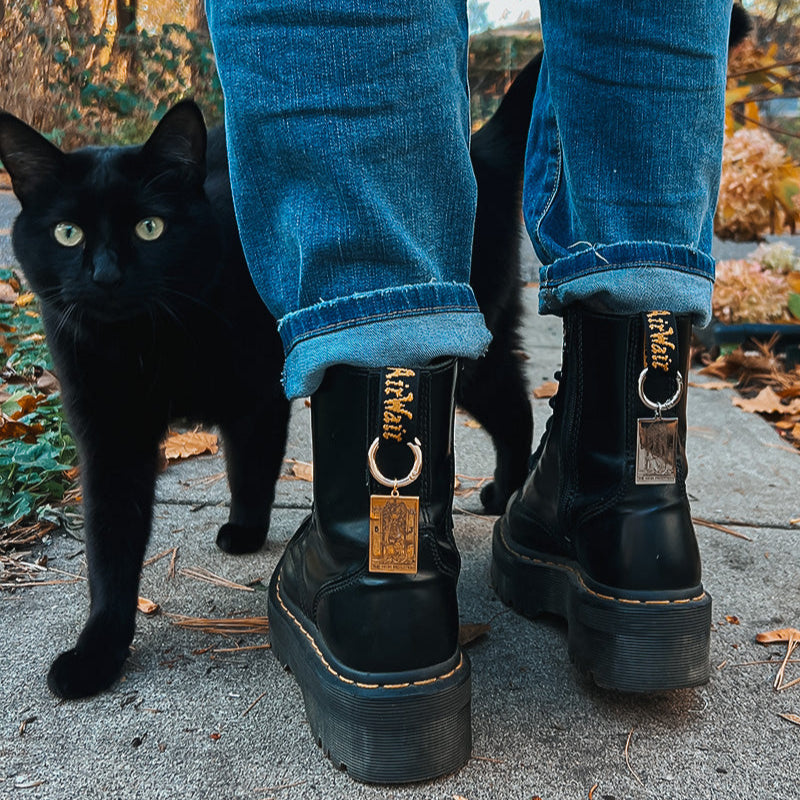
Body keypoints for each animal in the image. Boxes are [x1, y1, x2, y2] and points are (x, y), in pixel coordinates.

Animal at [0, 61, 536, 700]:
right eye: (67, 234)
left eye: (151, 227)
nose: (106, 275)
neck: (144, 346)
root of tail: (478, 147)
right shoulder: (109, 438)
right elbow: (110, 549)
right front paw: (98, 650)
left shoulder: (256, 397)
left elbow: (251, 468)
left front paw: (247, 532)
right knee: (516, 398)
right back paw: (508, 492)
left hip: (462, 341)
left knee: (512, 406)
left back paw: (506, 495)